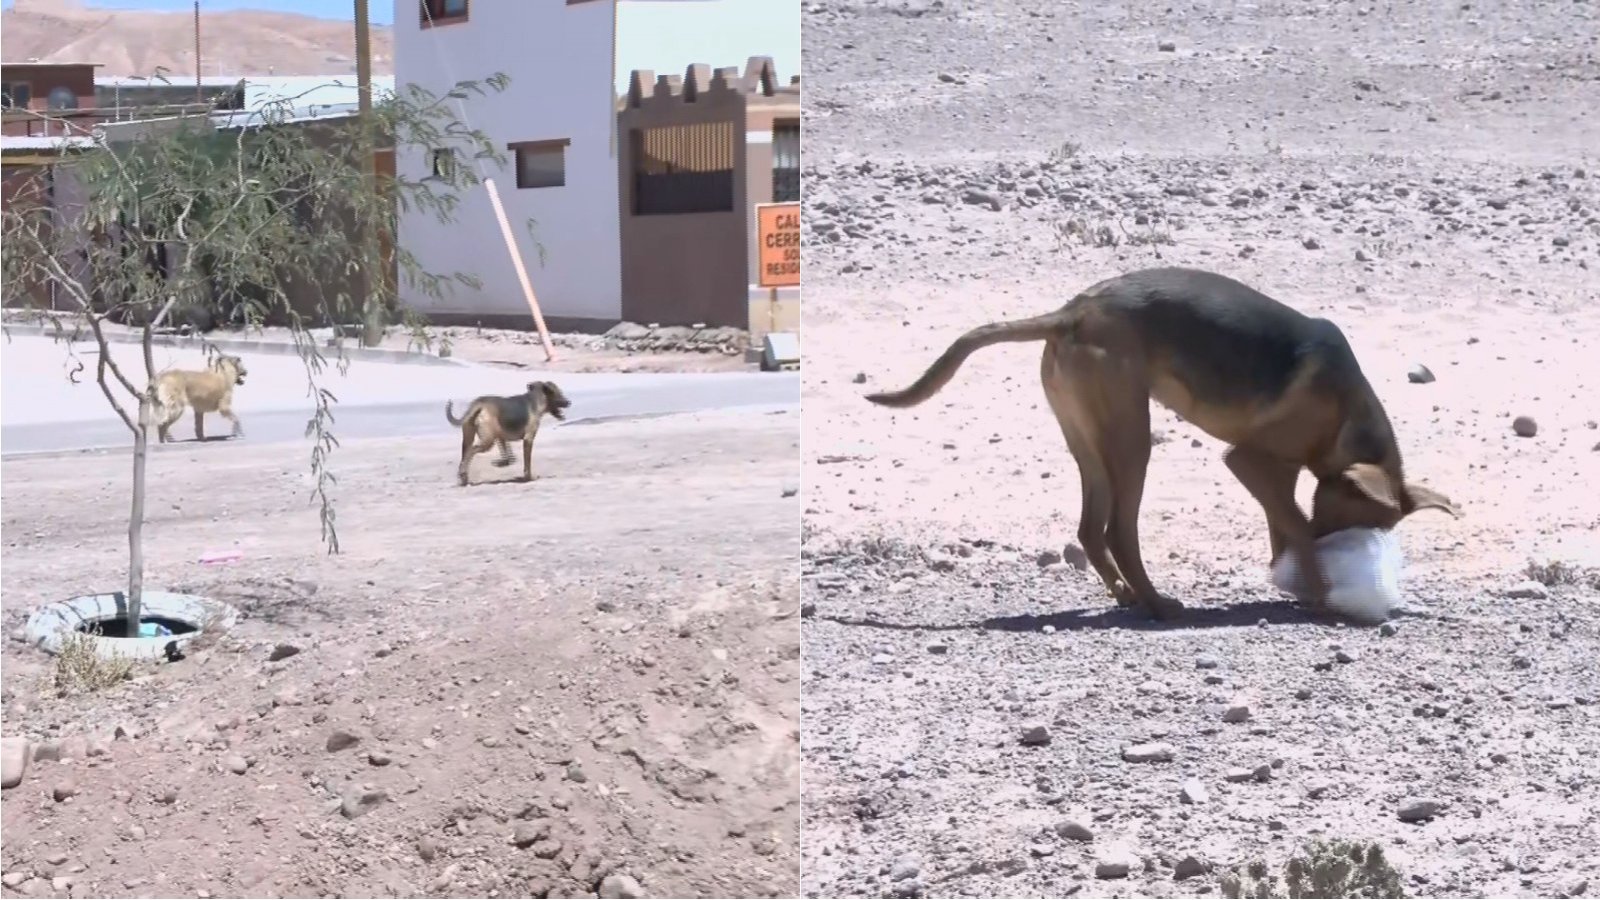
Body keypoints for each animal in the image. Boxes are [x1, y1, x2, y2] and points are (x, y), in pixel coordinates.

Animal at [870, 264, 1459, 614]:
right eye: (1343, 523)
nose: (1341, 555)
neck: (1345, 416)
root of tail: (1073, 311)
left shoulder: (1279, 473)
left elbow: (1282, 525)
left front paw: (1297, 584)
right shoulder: (1247, 460)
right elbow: (1291, 521)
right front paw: (1317, 592)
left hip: (1089, 439)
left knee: (1090, 530)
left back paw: (1129, 597)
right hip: (1132, 439)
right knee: (1118, 529)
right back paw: (1154, 602)